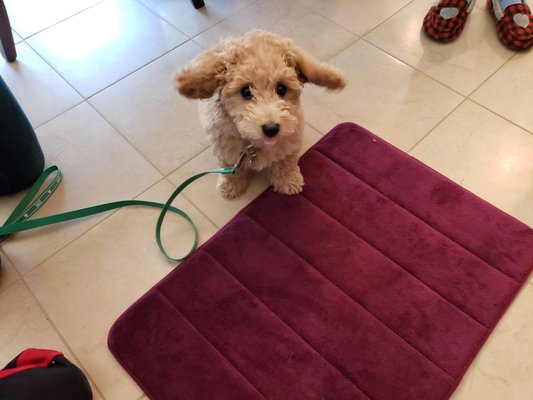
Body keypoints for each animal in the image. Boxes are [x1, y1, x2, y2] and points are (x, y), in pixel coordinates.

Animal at [175, 30, 344, 199]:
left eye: (281, 89)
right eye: (246, 91)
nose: (271, 128)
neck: (254, 143)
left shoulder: (290, 138)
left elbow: (285, 162)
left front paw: (288, 181)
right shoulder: (226, 147)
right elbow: (229, 168)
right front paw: (231, 185)